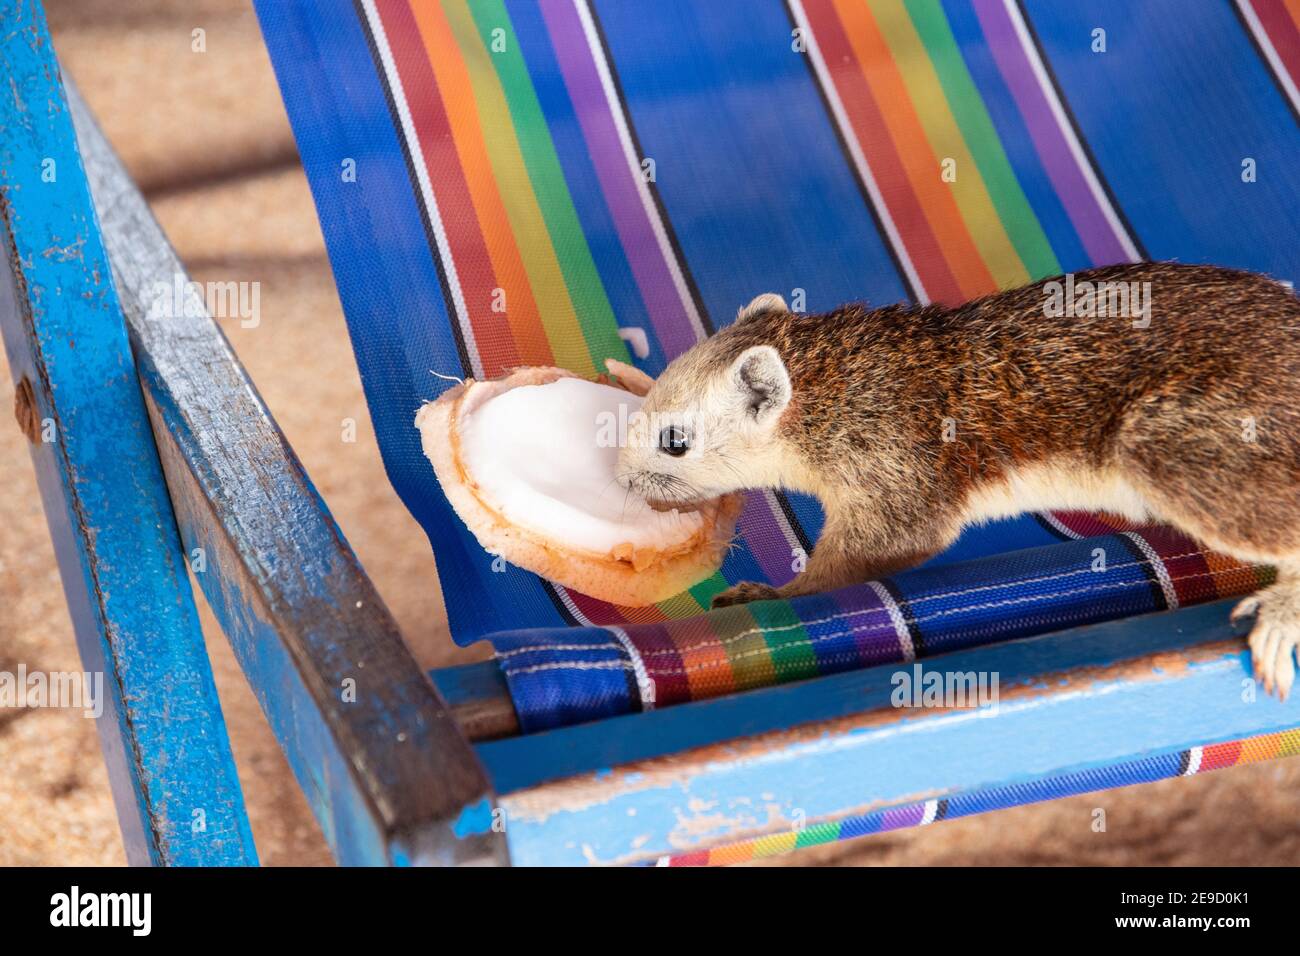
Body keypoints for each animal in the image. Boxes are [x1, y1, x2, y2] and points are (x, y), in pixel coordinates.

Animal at [616, 262, 1300, 697]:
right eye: (649, 397)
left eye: (673, 440)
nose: (621, 478)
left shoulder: (894, 484)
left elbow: (845, 565)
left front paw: (763, 593)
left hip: (1166, 445)